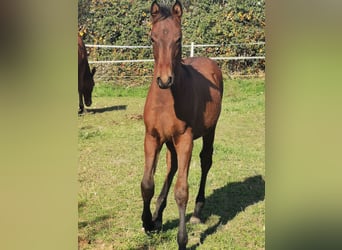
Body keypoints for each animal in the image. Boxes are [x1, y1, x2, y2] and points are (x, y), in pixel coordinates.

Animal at [140, 0, 223, 249]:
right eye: (152, 38)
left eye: (179, 38)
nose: (164, 80)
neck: (166, 100)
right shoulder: (152, 137)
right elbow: (147, 184)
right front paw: (147, 222)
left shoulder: (185, 139)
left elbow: (181, 191)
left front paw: (182, 239)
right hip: (169, 141)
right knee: (172, 166)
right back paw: (157, 216)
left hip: (209, 130)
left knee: (205, 161)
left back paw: (196, 212)